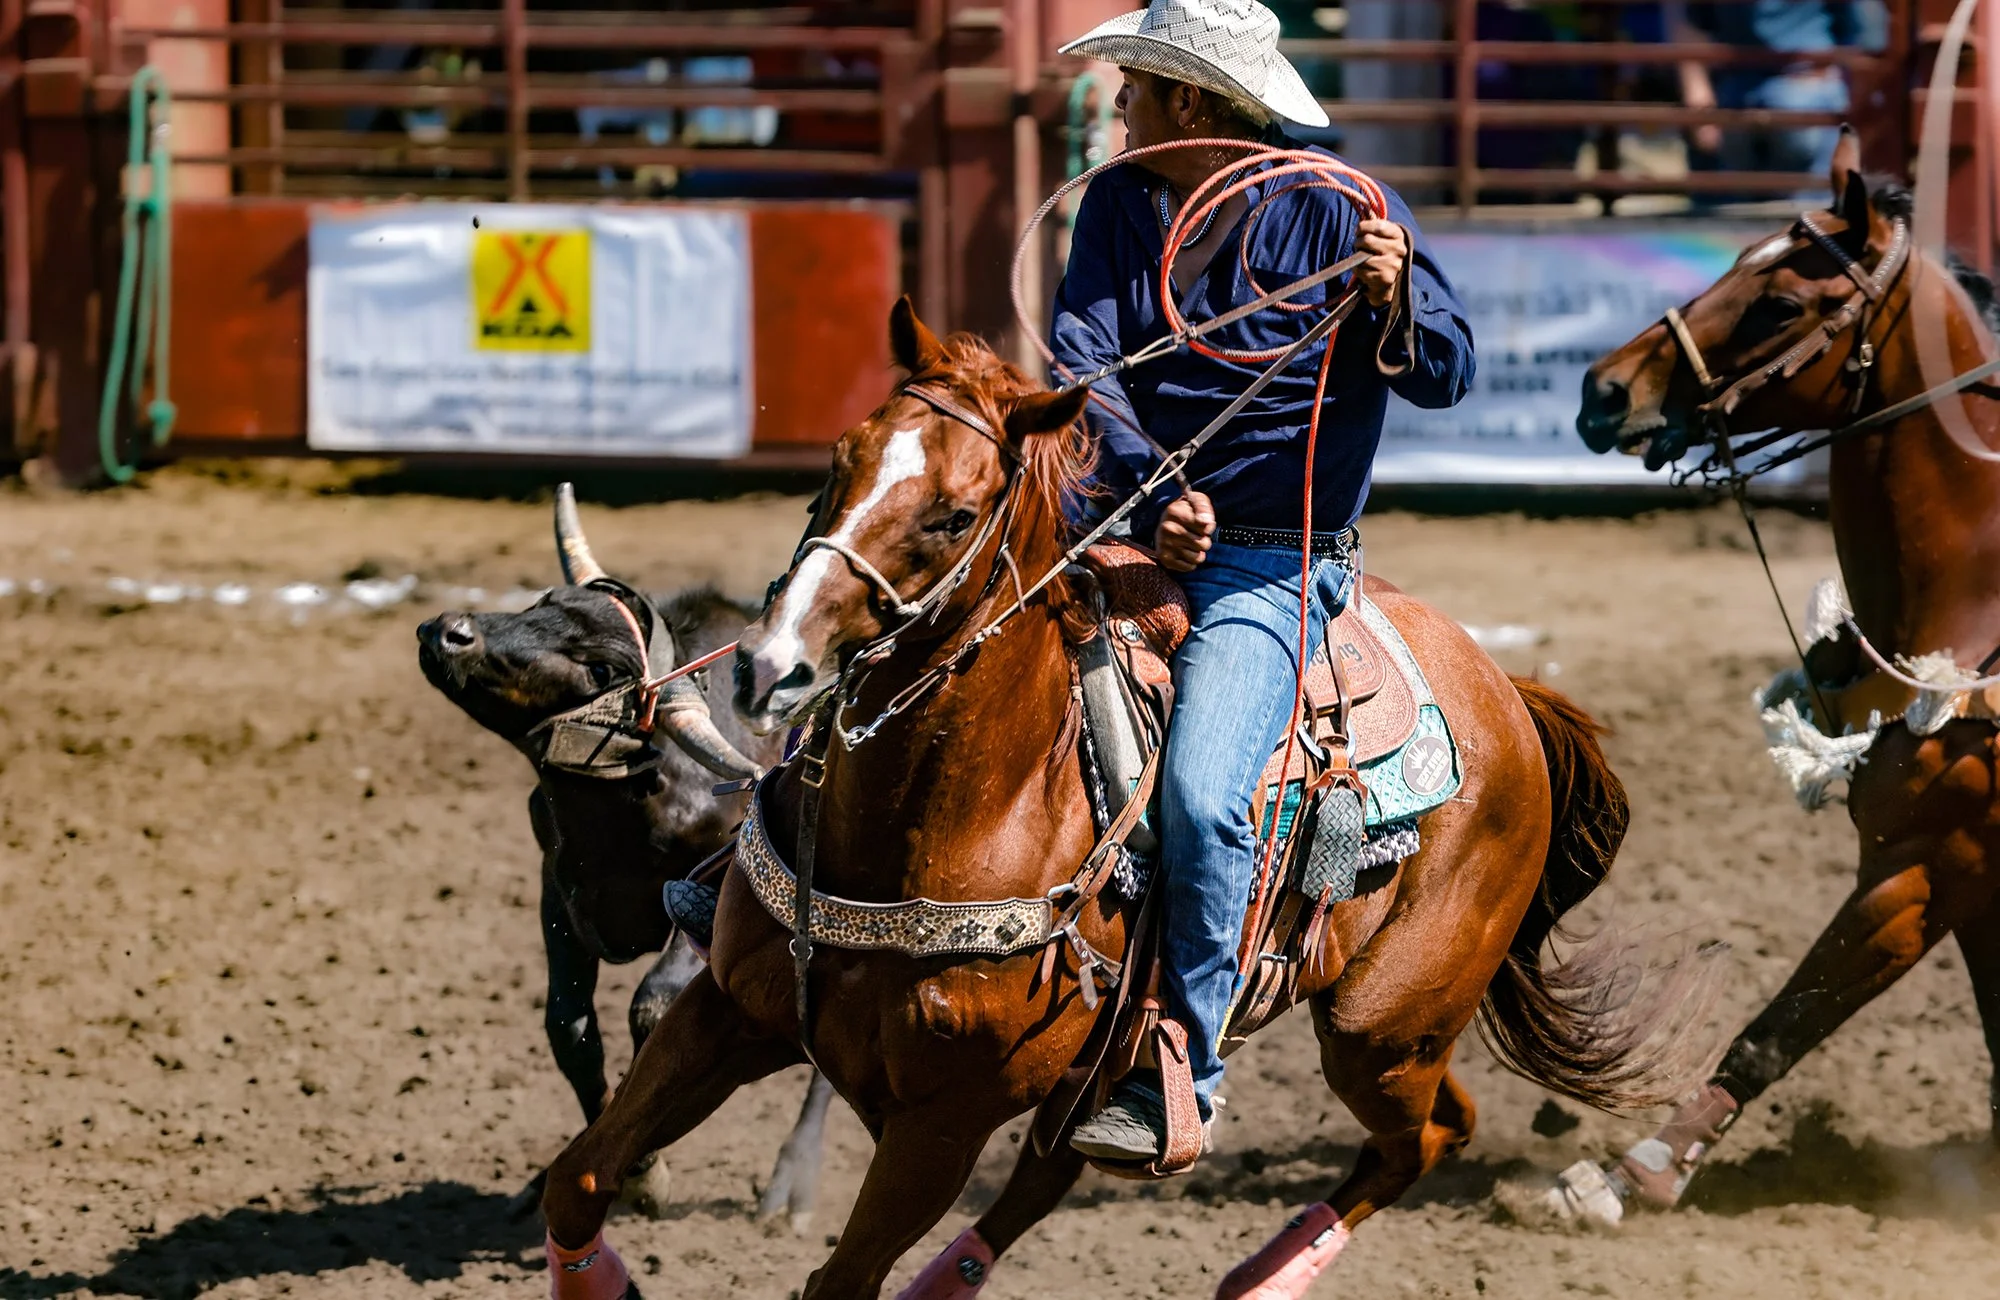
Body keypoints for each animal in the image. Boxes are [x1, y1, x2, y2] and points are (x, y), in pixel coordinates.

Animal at [417, 490, 835, 1228]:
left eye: (601, 668)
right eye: (544, 602)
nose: (449, 631)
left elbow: (653, 1009)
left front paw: (645, 1174)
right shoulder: (558, 890)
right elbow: (569, 1027)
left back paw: (791, 1188)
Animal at [536, 298, 1705, 1300]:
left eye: (952, 515)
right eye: (836, 463)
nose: (768, 668)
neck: (939, 820)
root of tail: (1508, 694)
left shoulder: (945, 1118)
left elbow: (840, 1281)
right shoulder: (731, 1010)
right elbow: (580, 1179)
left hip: (1383, 1029)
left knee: (1426, 1134)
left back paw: (1259, 1278)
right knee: (1059, 1173)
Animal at [1566, 127, 2000, 1219]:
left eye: (1779, 303)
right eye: (1731, 259)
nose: (1602, 390)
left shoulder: (1924, 864)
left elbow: (1781, 1023)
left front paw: (1634, 1169)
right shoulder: (1964, 876)